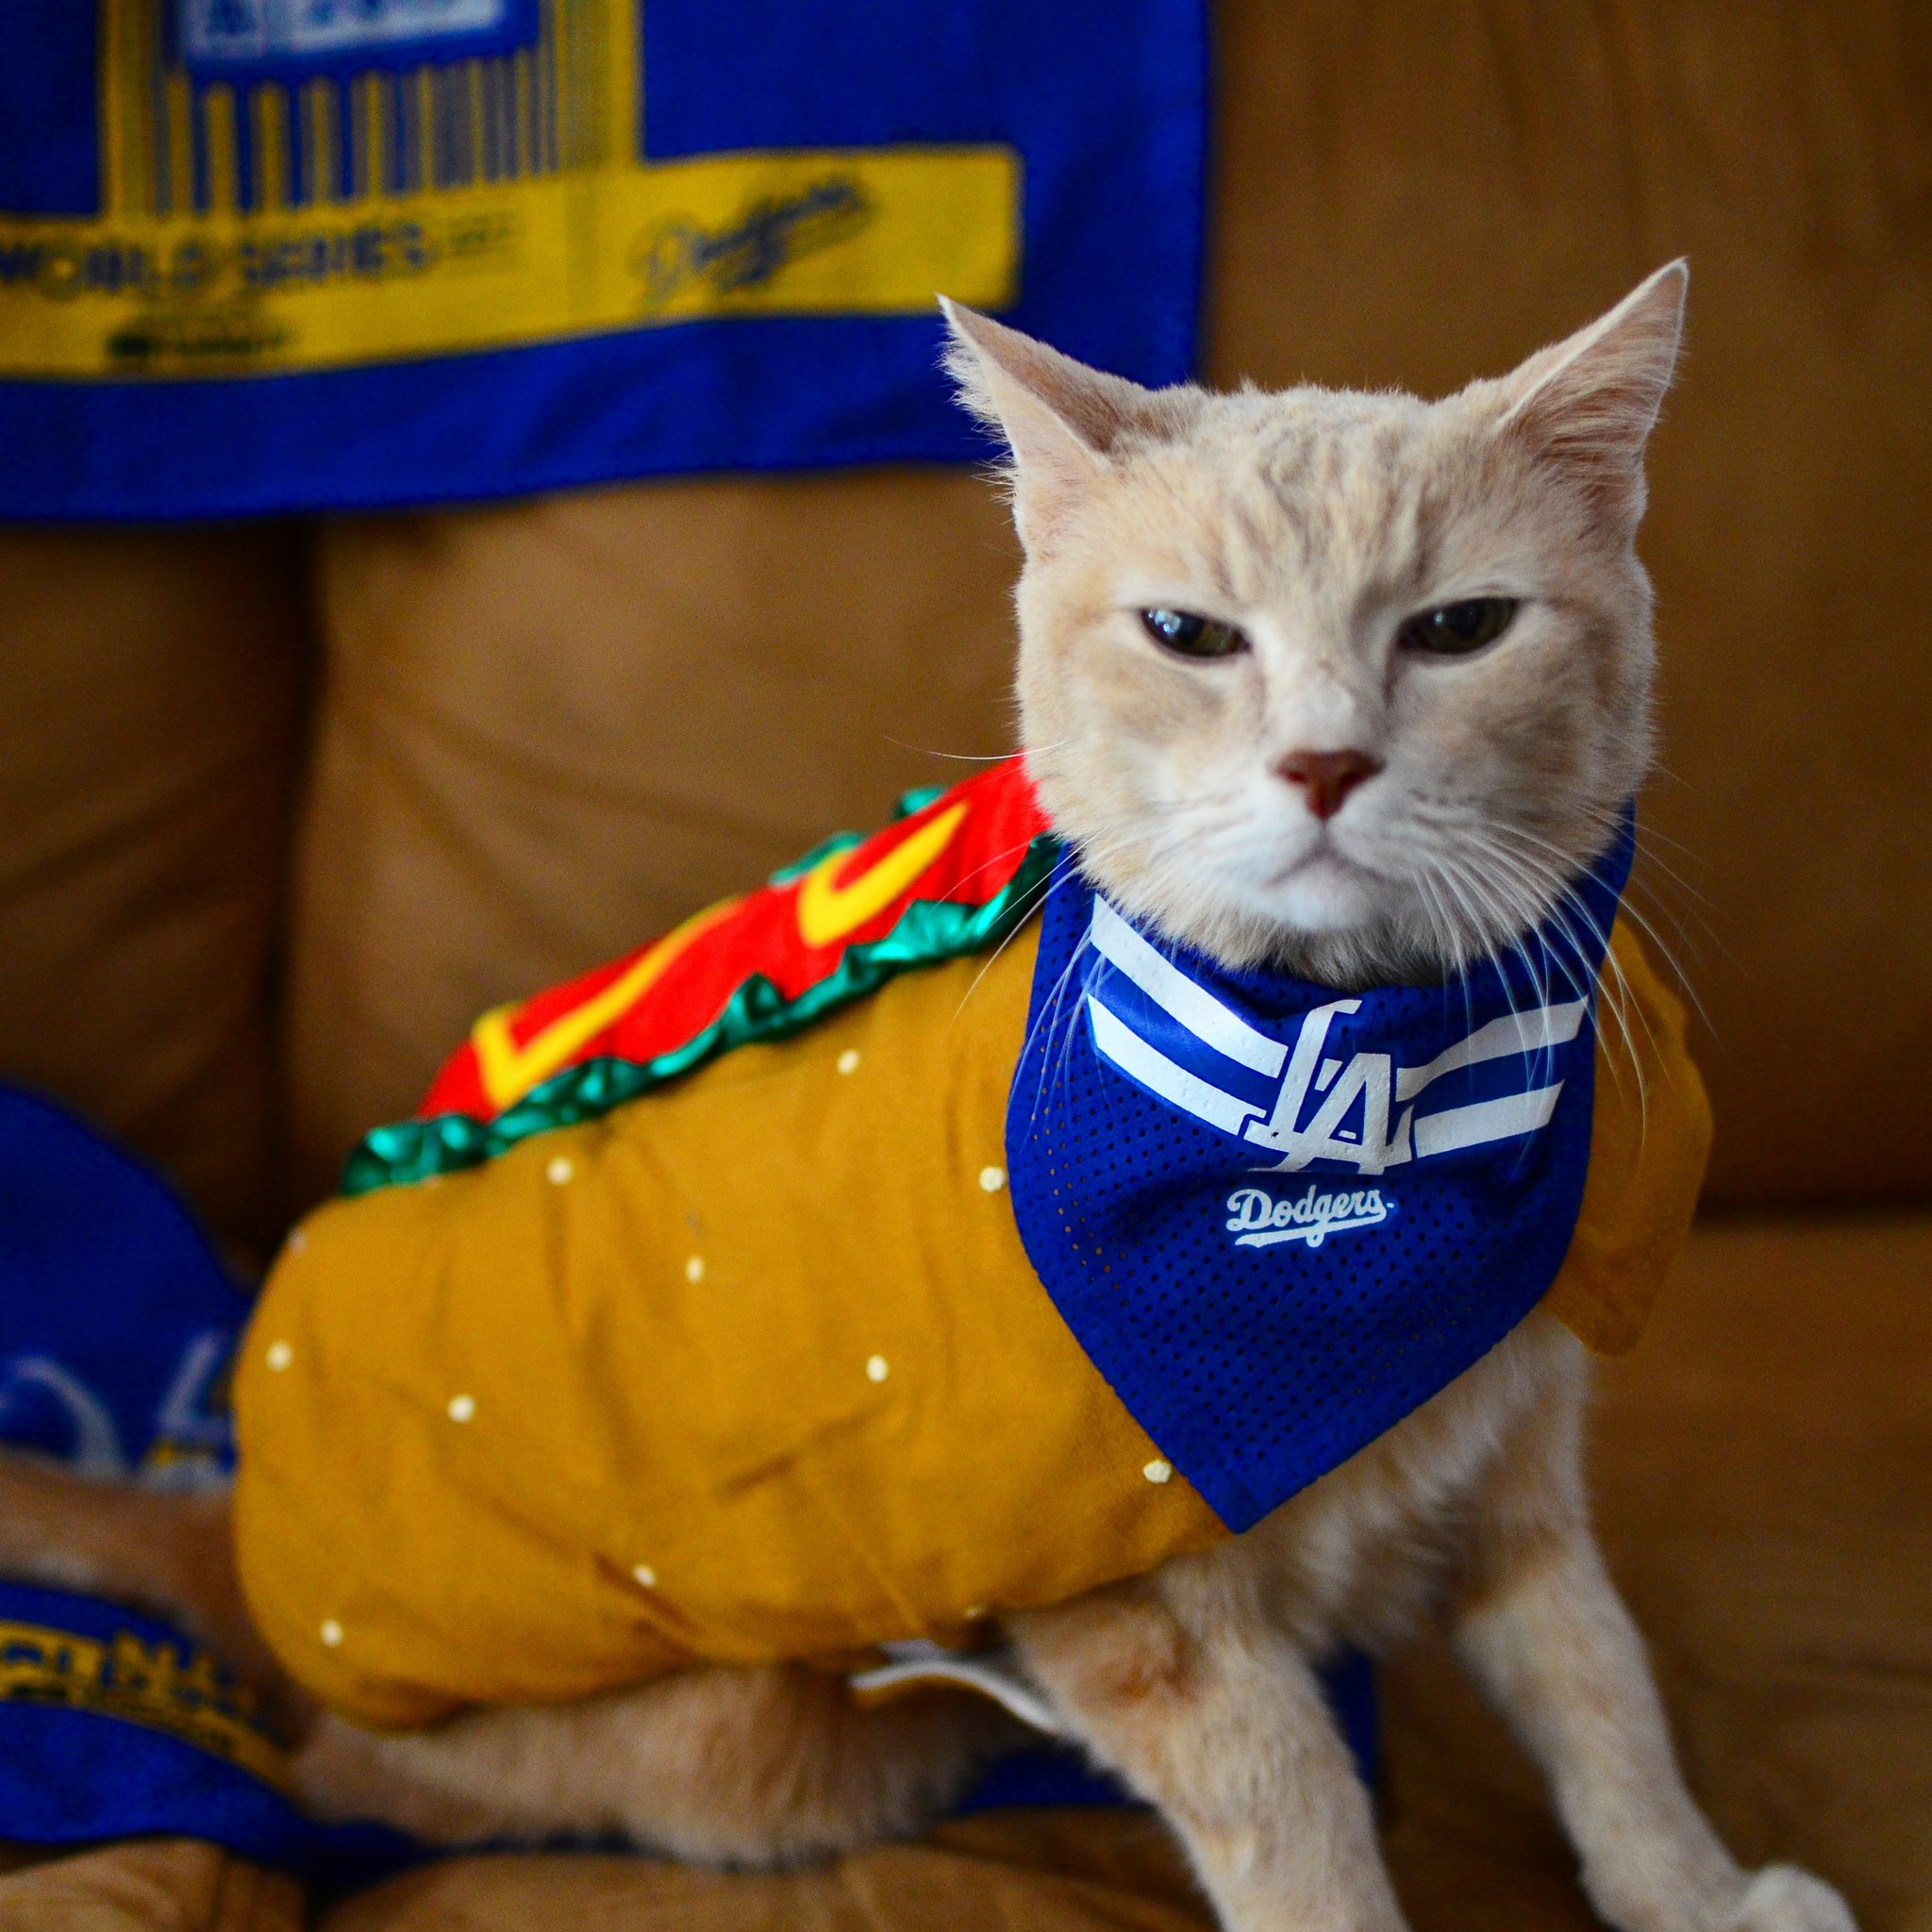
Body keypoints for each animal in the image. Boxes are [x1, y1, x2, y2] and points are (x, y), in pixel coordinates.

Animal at [0, 268, 1862, 1932]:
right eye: (1190, 636)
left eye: (1460, 628)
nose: (1325, 762)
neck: (1356, 1110)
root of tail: (242, 1530)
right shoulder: (1145, 1617)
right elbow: (1300, 1828)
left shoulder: (1517, 1486)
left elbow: (1604, 1698)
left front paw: (1695, 1895)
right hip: (729, 1737)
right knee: (337, 1781)